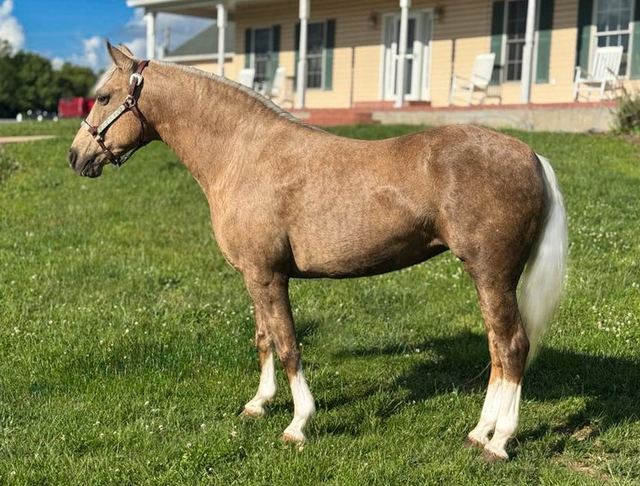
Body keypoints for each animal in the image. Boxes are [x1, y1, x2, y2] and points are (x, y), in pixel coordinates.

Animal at [68, 43, 568, 461]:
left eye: (103, 97)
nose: (76, 157)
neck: (243, 154)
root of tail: (531, 155)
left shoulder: (269, 276)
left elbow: (289, 345)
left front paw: (298, 424)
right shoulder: (256, 275)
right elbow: (265, 338)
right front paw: (258, 404)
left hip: (491, 275)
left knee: (512, 346)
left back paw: (500, 442)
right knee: (497, 349)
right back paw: (480, 432)